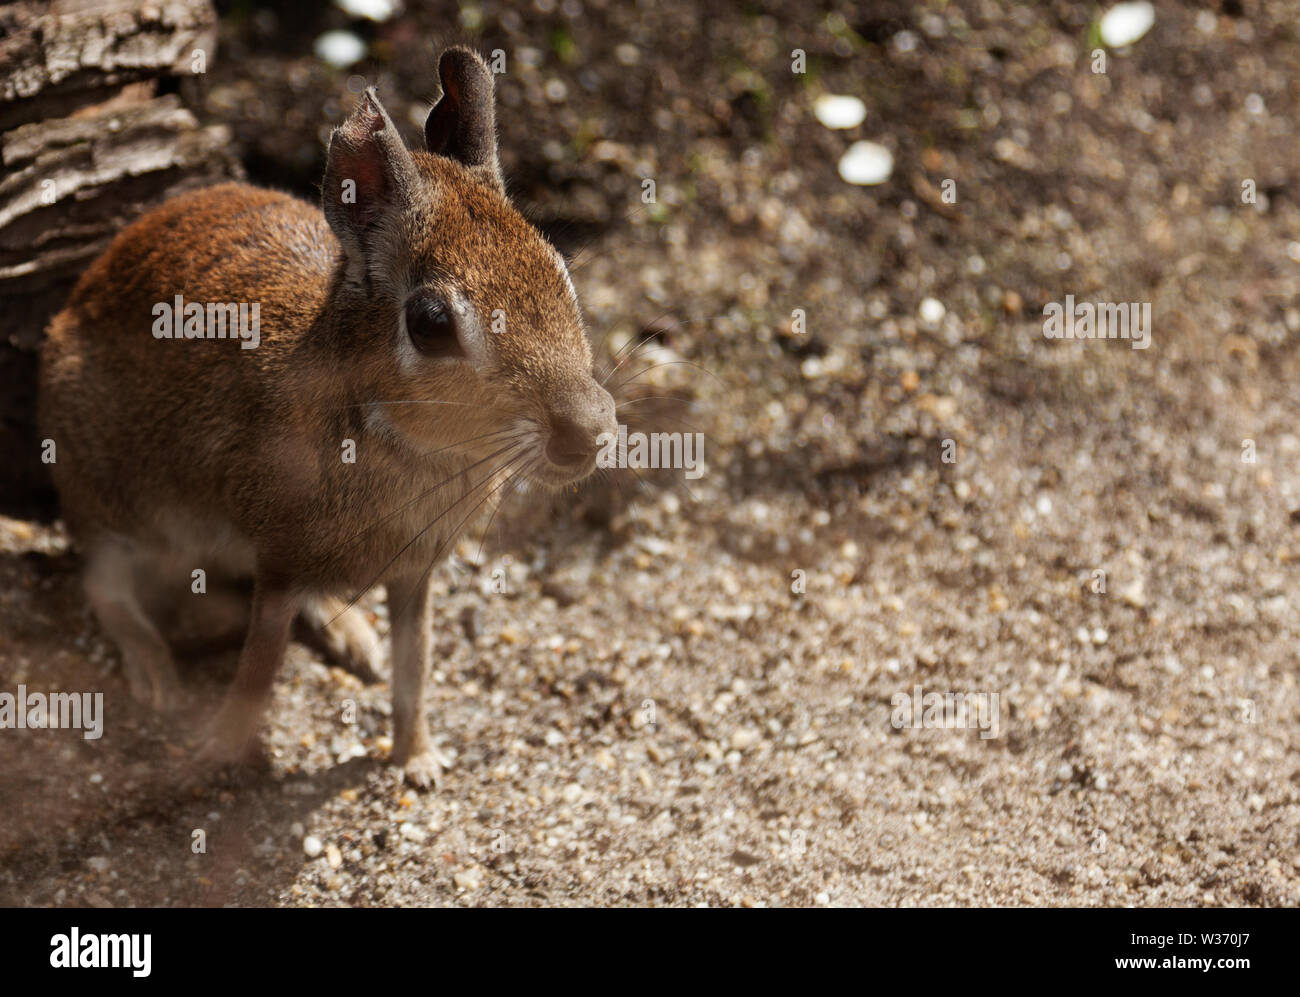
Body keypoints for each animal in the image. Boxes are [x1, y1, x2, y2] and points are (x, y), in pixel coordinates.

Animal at [38, 47, 618, 787]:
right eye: (432, 324)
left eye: (559, 272)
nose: (589, 431)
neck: (387, 427)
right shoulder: (280, 560)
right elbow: (260, 666)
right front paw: (216, 750)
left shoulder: (413, 574)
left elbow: (415, 664)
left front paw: (419, 760)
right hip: (108, 493)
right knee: (104, 584)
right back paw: (155, 670)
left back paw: (354, 639)